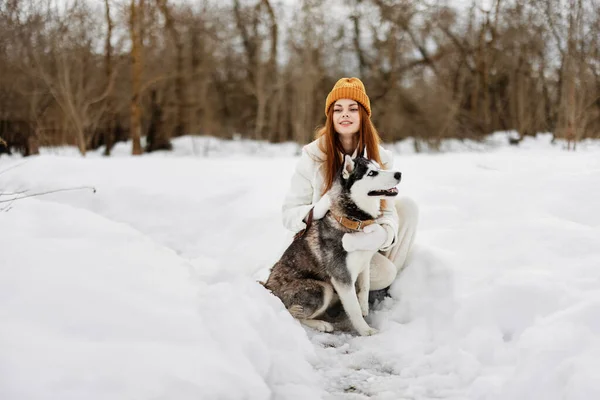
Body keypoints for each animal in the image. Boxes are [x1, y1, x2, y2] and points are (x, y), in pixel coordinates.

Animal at [264, 155, 400, 336]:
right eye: (371, 173)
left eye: (379, 167)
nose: (399, 174)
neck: (352, 221)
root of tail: (267, 287)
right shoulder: (342, 277)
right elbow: (354, 309)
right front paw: (366, 330)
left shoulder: (364, 262)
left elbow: (365, 286)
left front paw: (364, 306)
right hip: (322, 288)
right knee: (292, 314)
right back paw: (321, 324)